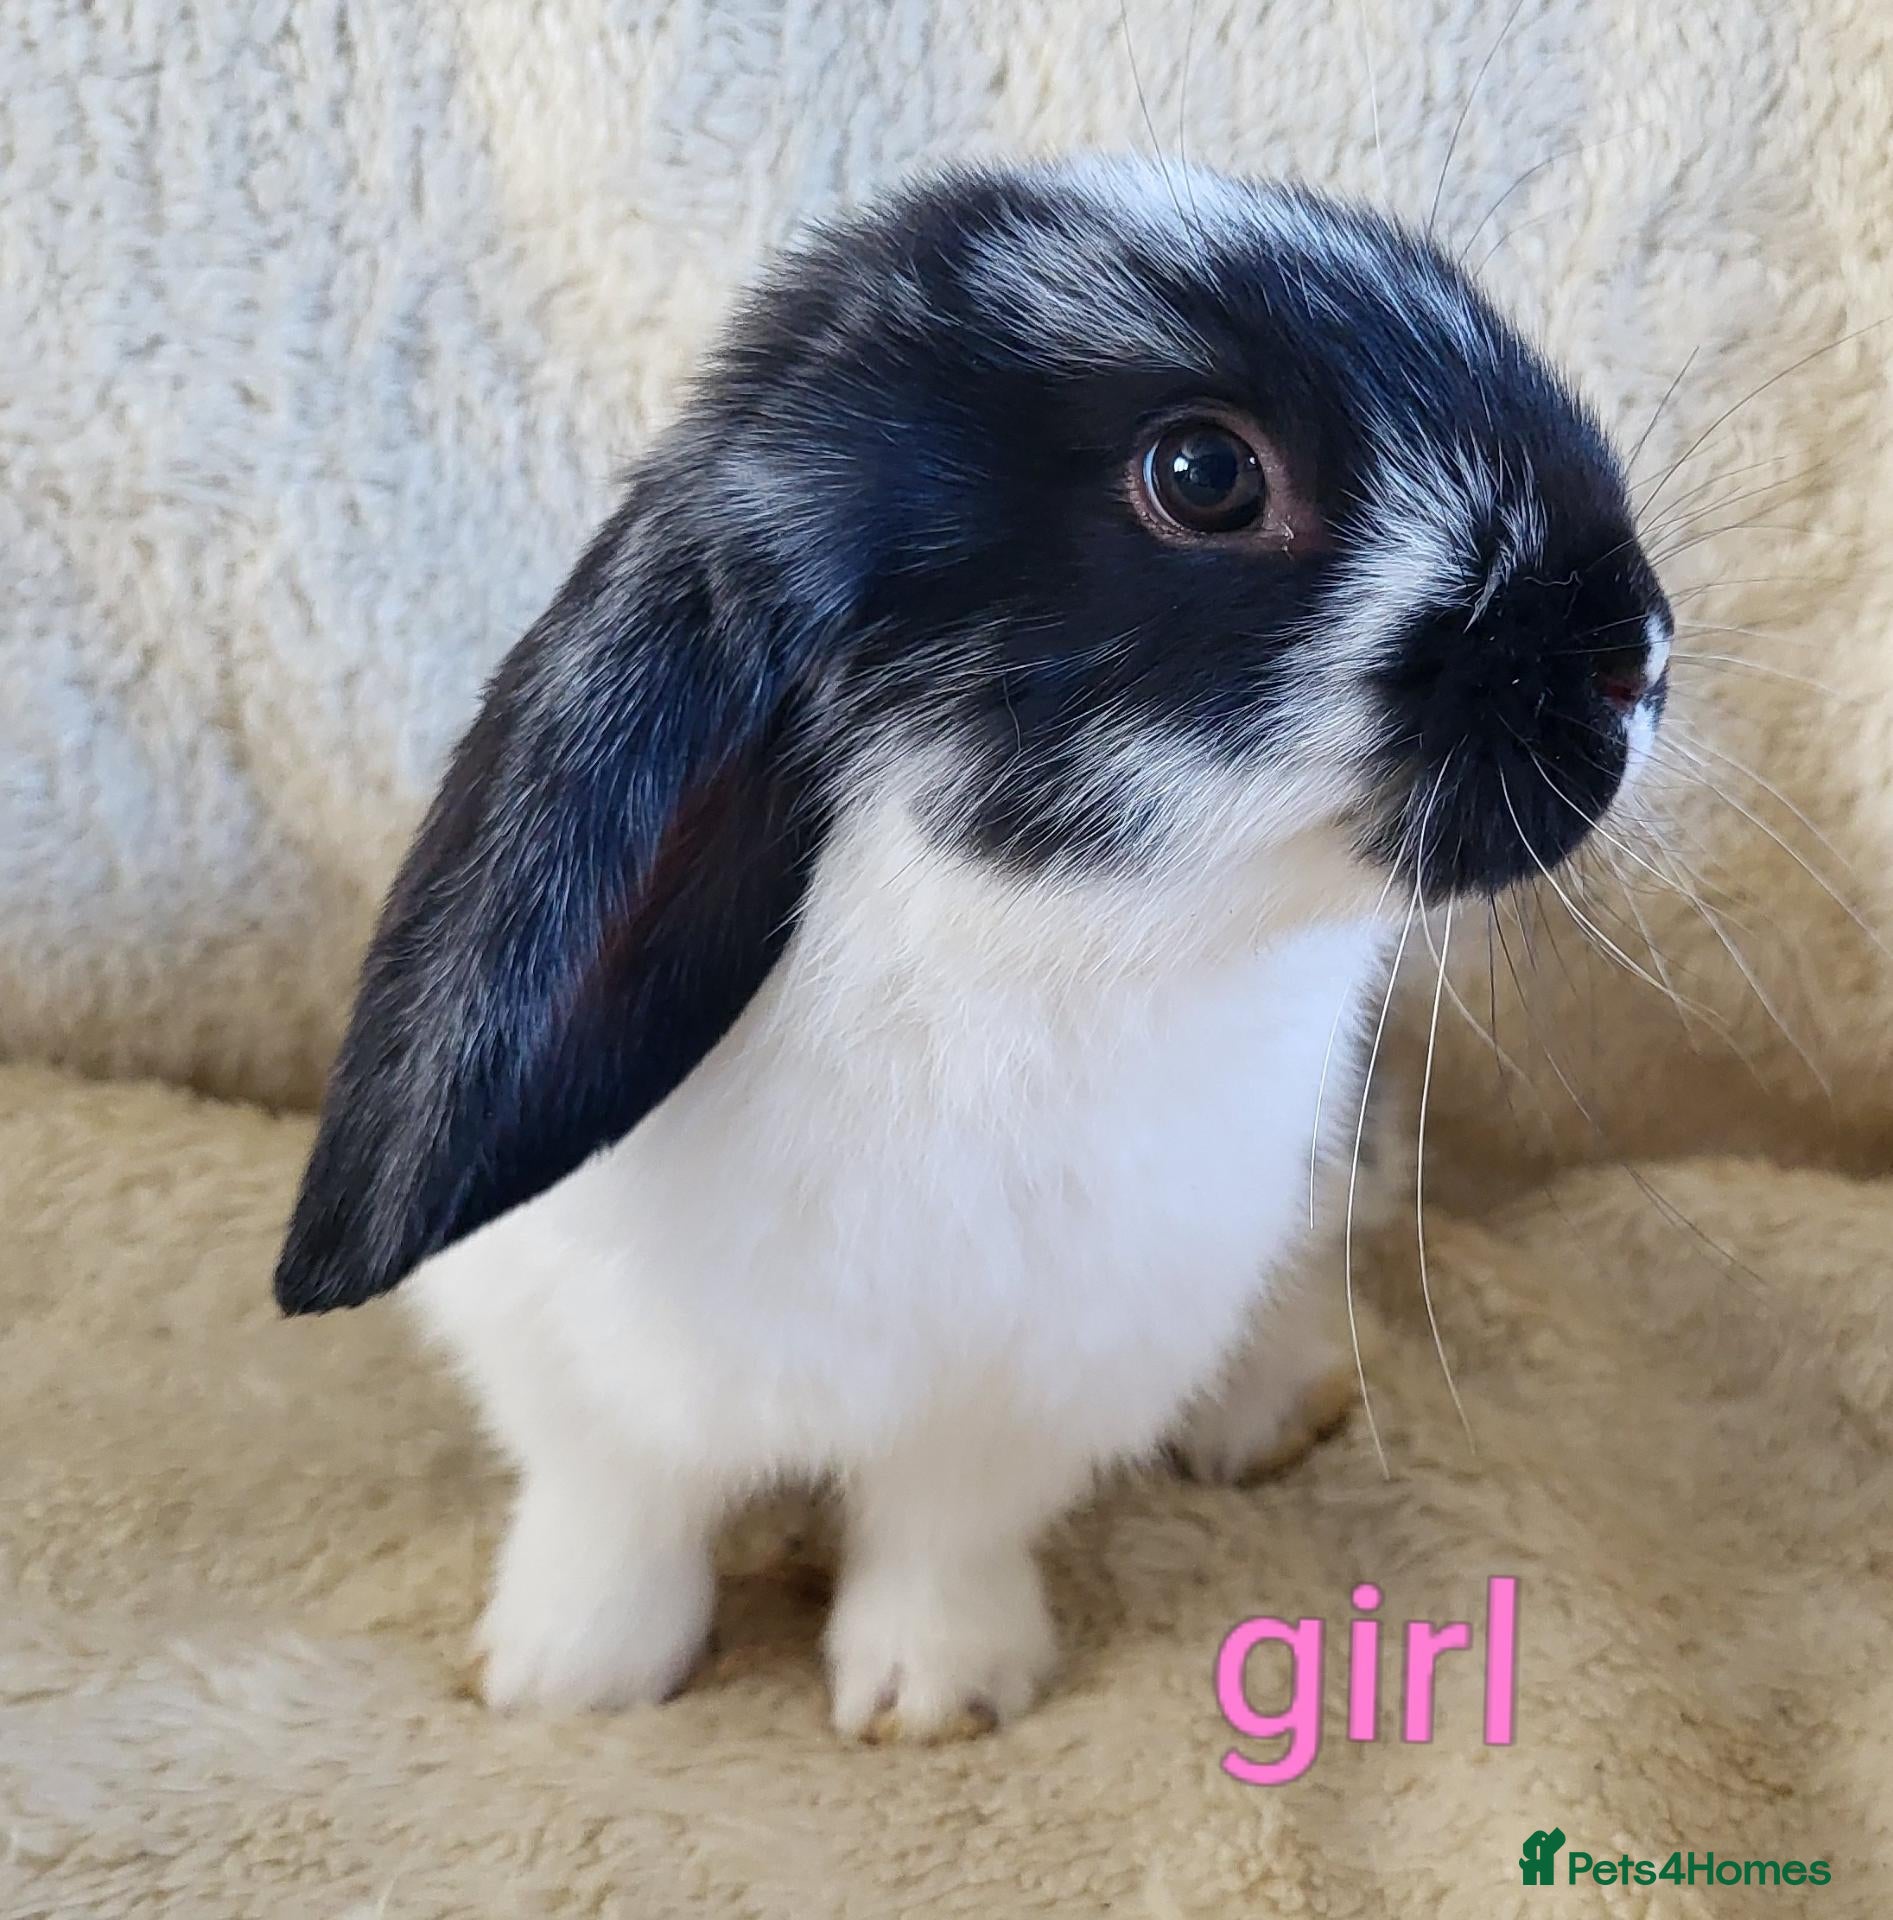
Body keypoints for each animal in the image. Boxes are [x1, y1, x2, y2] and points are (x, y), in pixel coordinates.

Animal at [273, 155, 1671, 1740]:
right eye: (1205, 475)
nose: (1636, 654)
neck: (1015, 938)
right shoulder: (572, 1363)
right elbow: (615, 1513)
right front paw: (566, 1679)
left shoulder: (1036, 1383)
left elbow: (939, 1534)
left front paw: (934, 1696)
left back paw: (1264, 1413)